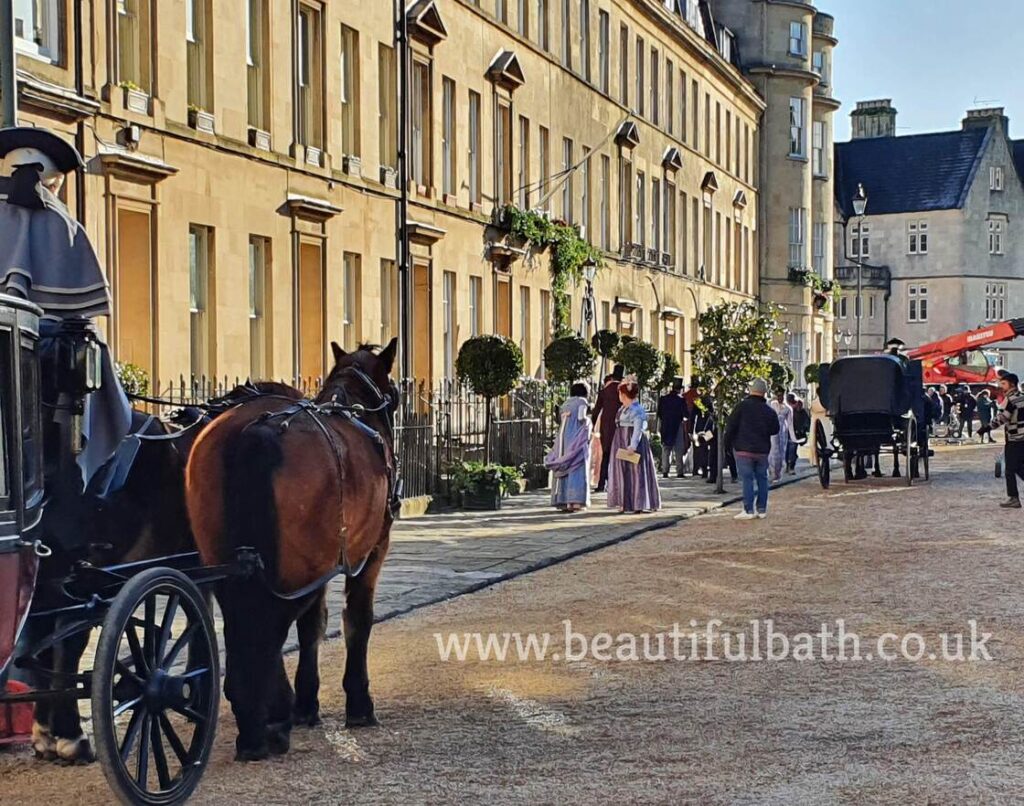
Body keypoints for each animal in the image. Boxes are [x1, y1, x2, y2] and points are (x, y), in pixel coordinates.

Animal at [186, 337, 397, 761]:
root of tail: (253, 431)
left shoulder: (325, 563)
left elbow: (312, 626)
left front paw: (307, 702)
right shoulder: (369, 551)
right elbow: (356, 619)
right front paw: (357, 703)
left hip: (230, 561)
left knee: (245, 622)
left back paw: (255, 715)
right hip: (297, 567)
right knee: (269, 624)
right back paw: (269, 721)